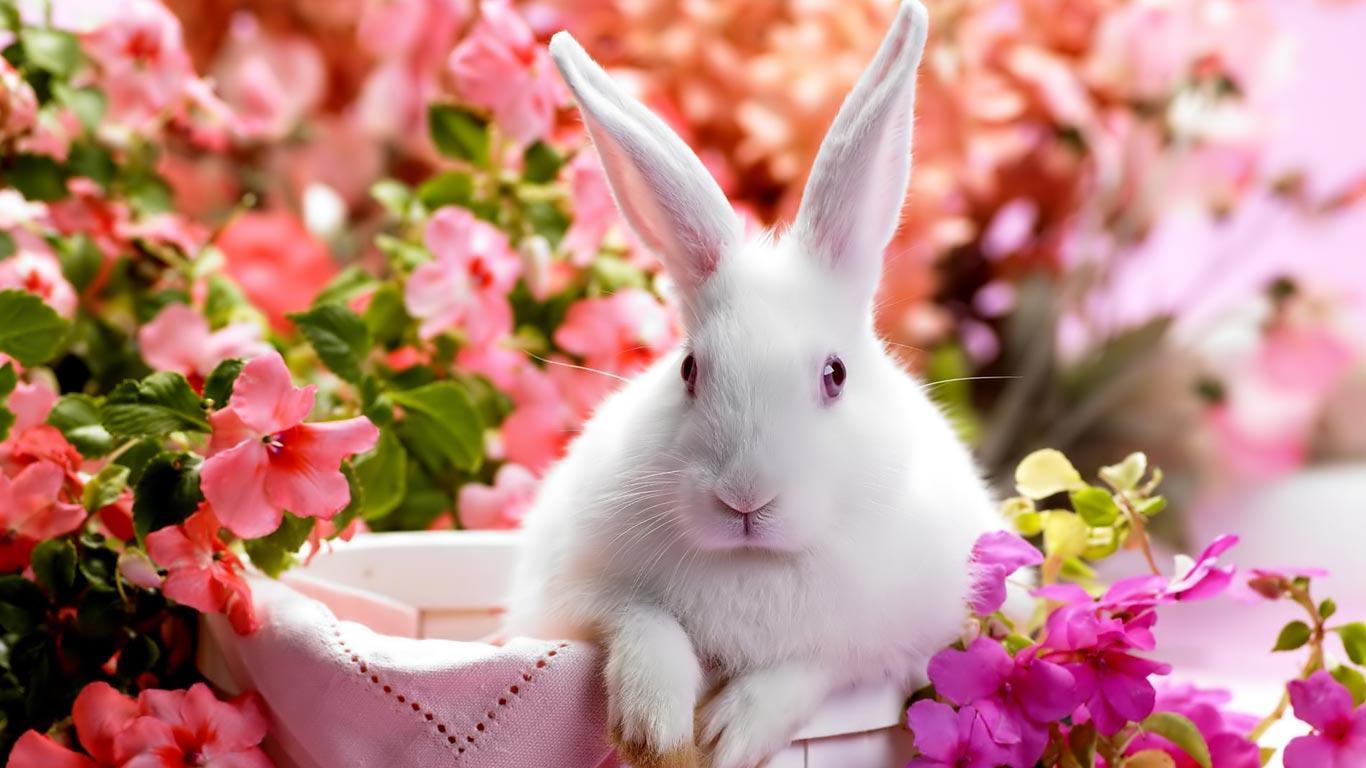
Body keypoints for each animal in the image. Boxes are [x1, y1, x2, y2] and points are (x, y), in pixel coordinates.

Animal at [502, 2, 1009, 766]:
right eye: (689, 369)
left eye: (835, 375)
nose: (744, 498)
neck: (755, 562)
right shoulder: (573, 592)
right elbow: (642, 620)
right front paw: (654, 729)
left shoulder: (891, 638)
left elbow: (811, 666)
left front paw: (729, 736)